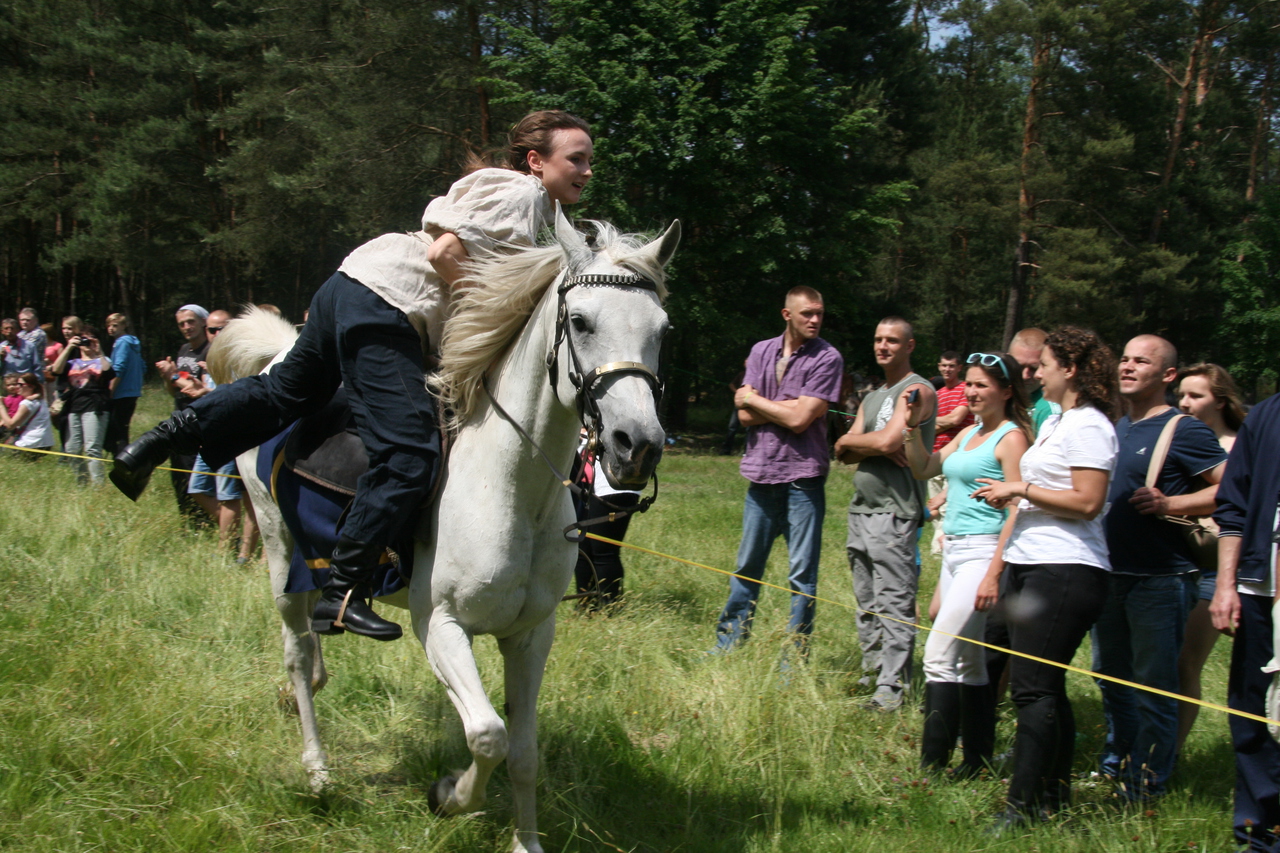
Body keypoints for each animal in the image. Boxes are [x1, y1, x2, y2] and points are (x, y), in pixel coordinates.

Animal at [212, 211, 680, 850]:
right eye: (581, 322)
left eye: (662, 330)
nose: (638, 446)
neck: (511, 489)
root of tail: (274, 358)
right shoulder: (441, 627)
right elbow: (487, 734)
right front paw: (447, 796)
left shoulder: (531, 635)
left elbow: (524, 751)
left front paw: (525, 841)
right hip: (281, 553)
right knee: (296, 652)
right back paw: (317, 769)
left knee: (310, 652)